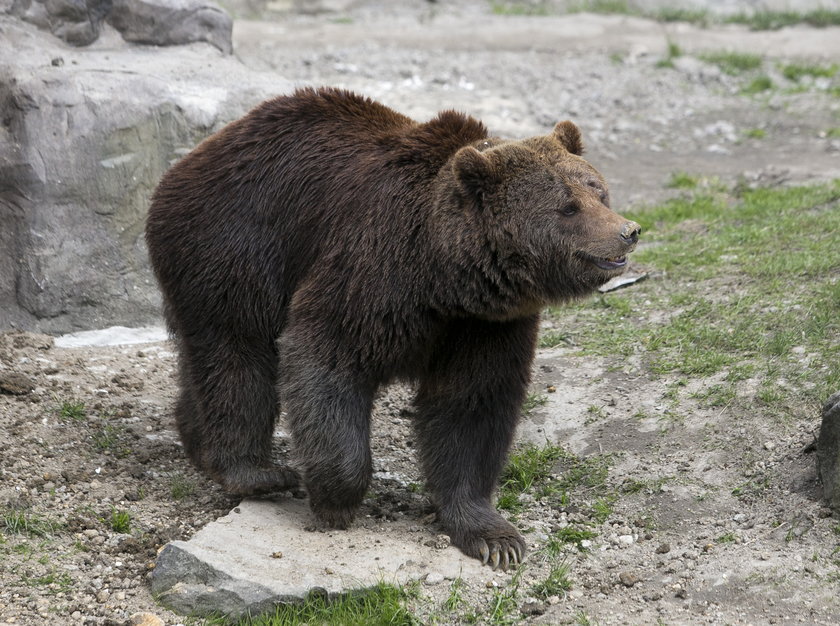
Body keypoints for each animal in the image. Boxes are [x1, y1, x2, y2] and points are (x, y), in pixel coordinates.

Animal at [146, 85, 644, 568]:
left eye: (598, 191)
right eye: (567, 207)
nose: (628, 231)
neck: (445, 277)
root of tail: (194, 156)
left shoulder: (486, 326)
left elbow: (472, 405)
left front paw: (493, 537)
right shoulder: (373, 273)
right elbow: (325, 359)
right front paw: (335, 500)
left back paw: (198, 442)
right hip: (235, 245)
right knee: (238, 356)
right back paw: (256, 472)